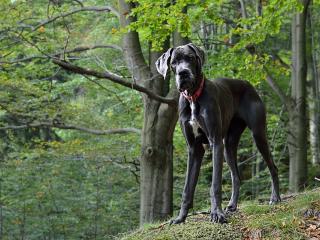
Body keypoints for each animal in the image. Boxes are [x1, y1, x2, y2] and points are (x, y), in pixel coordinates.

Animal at [156, 42, 282, 223]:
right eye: (173, 62)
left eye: (190, 58)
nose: (183, 73)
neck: (193, 97)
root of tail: (248, 84)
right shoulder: (194, 149)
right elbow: (187, 188)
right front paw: (180, 218)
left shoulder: (214, 142)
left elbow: (215, 184)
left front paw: (216, 213)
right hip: (228, 145)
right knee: (236, 176)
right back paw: (232, 205)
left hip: (258, 135)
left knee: (273, 167)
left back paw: (275, 198)